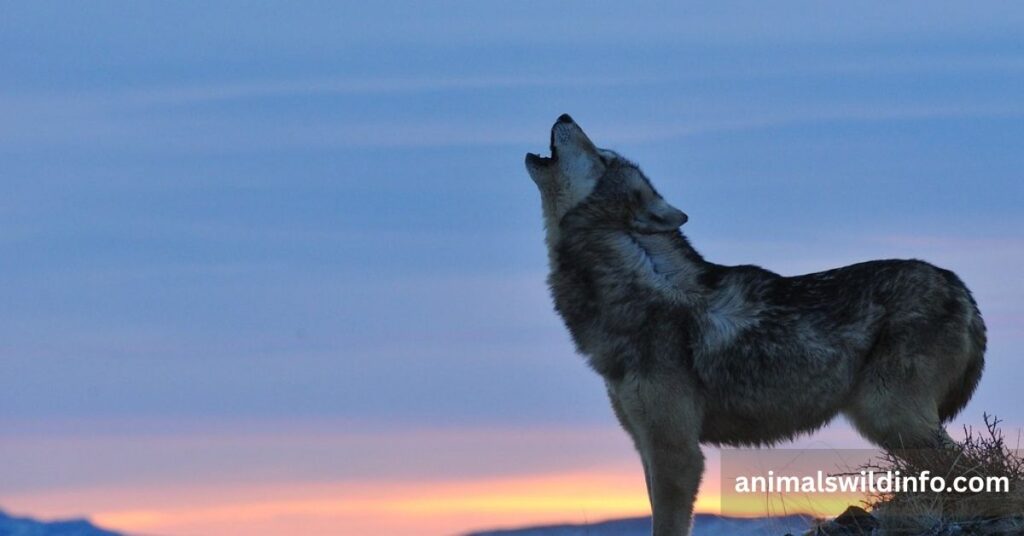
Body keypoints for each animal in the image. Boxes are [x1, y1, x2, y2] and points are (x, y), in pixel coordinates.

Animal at [525, 114, 986, 536]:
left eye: (602, 157)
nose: (565, 115)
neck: (637, 284)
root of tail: (959, 284)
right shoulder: (646, 444)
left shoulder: (676, 451)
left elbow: (667, 525)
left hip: (890, 417)